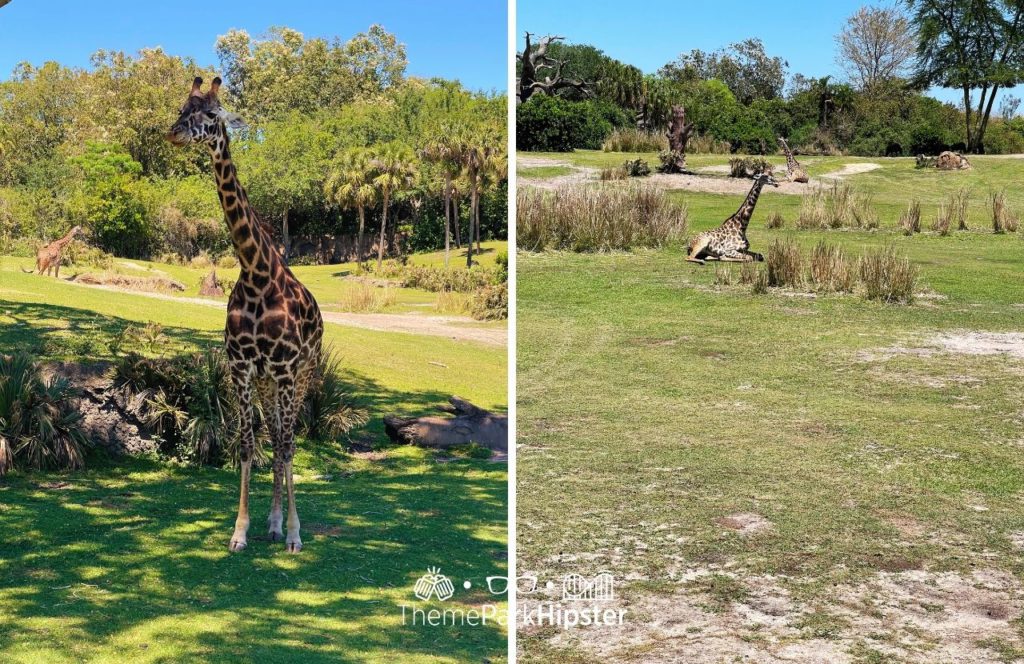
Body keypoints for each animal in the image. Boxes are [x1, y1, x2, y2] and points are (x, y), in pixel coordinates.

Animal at [166, 76, 323, 553]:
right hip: (269, 382)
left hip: (303, 374)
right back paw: (271, 523)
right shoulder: (241, 366)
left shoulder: (287, 369)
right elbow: (247, 443)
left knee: (287, 440)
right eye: (182, 110)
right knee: (272, 433)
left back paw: (284, 528)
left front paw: (294, 533)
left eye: (211, 114)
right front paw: (241, 531)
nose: (173, 133)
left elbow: (286, 446)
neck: (256, 274)